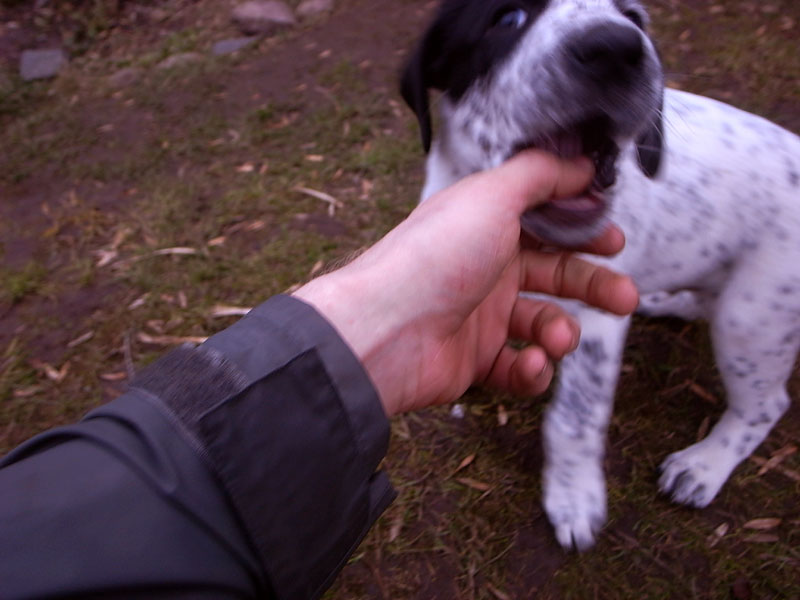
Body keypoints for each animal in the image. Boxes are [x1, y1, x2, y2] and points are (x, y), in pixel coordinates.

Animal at [404, 0, 800, 552]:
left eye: (633, 16)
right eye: (506, 19)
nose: (615, 47)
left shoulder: (595, 322)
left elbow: (575, 416)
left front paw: (573, 498)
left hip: (753, 316)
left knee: (765, 404)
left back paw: (704, 464)